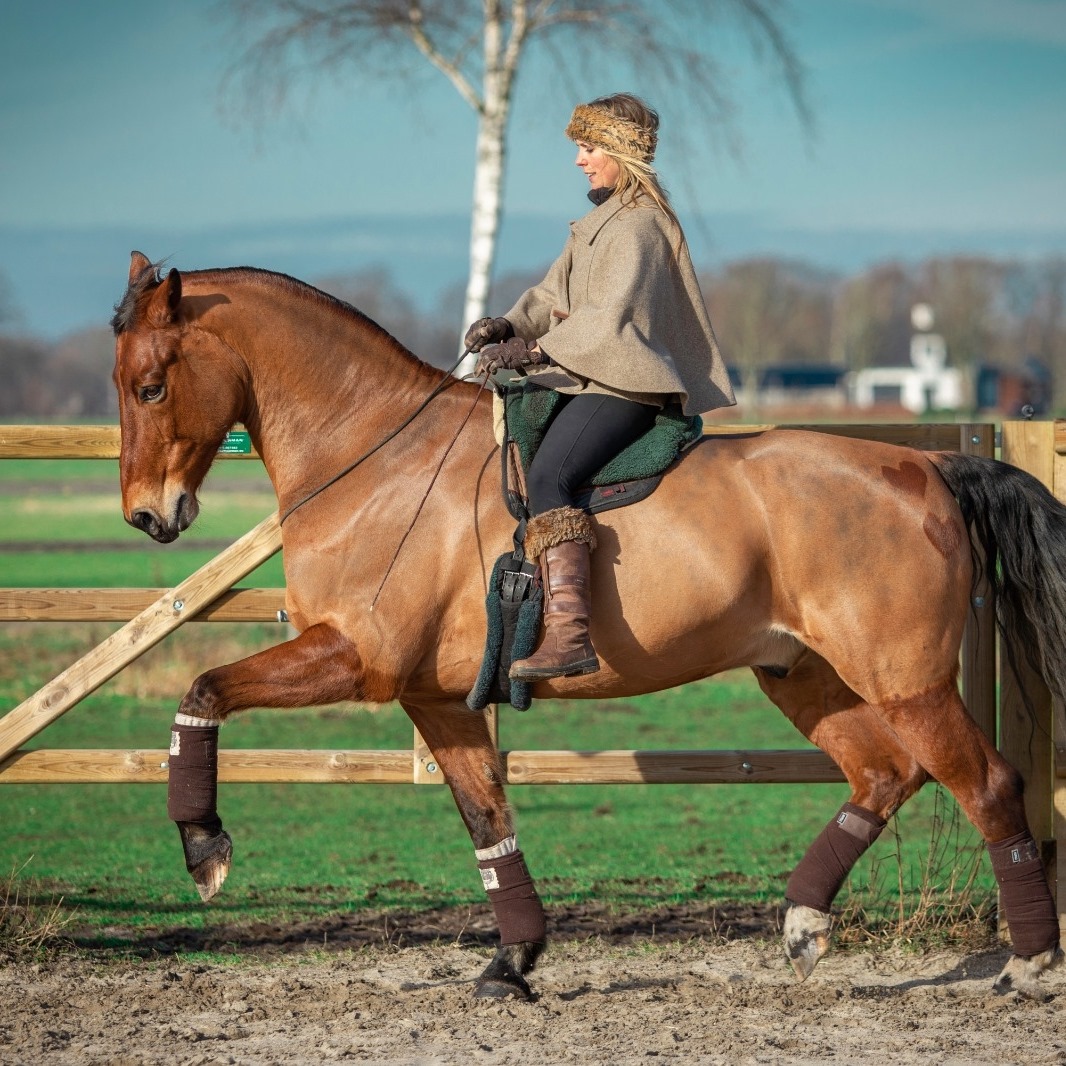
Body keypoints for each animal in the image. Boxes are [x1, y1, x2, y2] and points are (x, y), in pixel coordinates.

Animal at [112, 251, 1066, 997]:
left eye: (150, 386)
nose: (148, 517)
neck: (378, 457)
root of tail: (926, 467)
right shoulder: (436, 699)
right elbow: (487, 821)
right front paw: (515, 960)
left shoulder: (354, 660)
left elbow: (204, 689)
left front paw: (202, 844)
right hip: (802, 675)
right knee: (884, 774)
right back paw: (803, 922)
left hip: (905, 681)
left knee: (988, 787)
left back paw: (1028, 964)